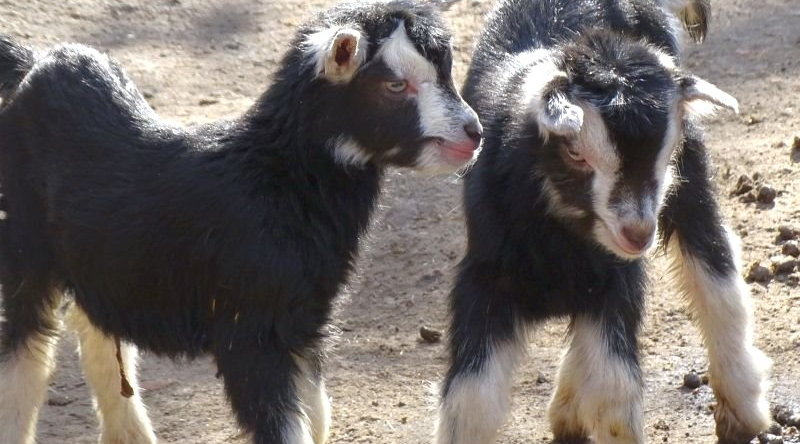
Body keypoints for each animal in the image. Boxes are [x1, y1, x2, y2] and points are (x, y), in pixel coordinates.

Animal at [0, 0, 482, 444]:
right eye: (395, 84)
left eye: (444, 71)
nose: (474, 133)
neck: (274, 179)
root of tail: (36, 61)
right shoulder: (250, 330)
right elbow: (287, 428)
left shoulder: (303, 321)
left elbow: (316, 414)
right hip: (25, 239)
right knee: (26, 353)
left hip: (99, 258)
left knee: (94, 330)